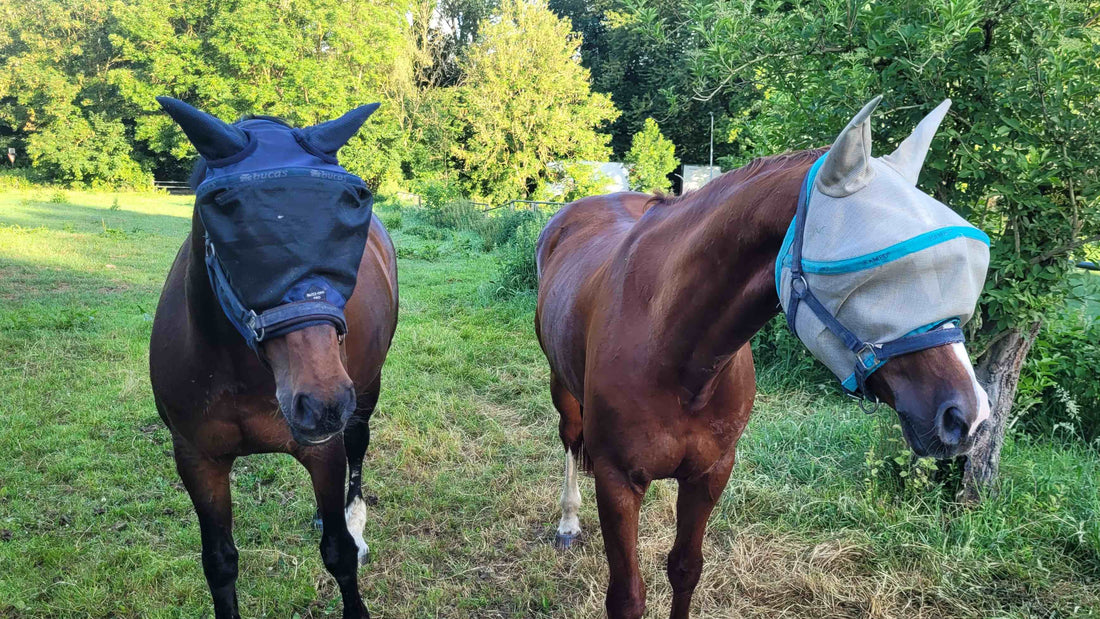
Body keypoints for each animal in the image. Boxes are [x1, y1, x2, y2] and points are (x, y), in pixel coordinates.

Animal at [149, 98, 397, 619]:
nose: (322, 403)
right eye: (226, 214)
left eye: (351, 206)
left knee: (357, 450)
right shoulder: (197, 459)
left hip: (365, 394)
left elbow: (339, 553)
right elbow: (220, 564)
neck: (242, 372)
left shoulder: (324, 450)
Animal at [534, 97, 991, 619]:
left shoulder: (711, 474)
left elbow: (685, 569)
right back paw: (568, 522)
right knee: (571, 440)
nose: (968, 417)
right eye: (877, 270)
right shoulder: (617, 482)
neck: (674, 351)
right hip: (561, 386)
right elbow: (627, 596)